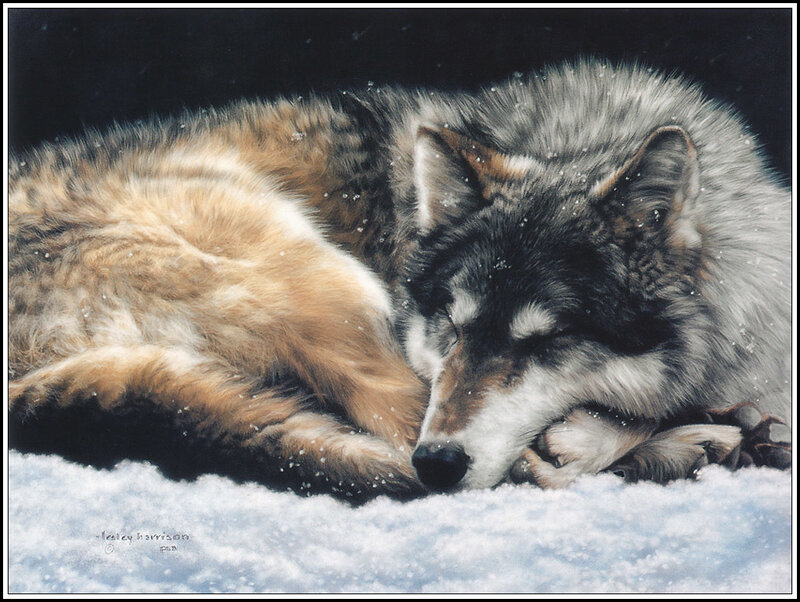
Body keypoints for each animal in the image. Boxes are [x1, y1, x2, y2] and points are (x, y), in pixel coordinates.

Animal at [9, 60, 791, 500]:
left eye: (546, 342)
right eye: (452, 324)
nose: (440, 463)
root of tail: (25, 388)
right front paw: (670, 433)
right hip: (333, 286)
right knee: (436, 446)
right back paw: (693, 447)